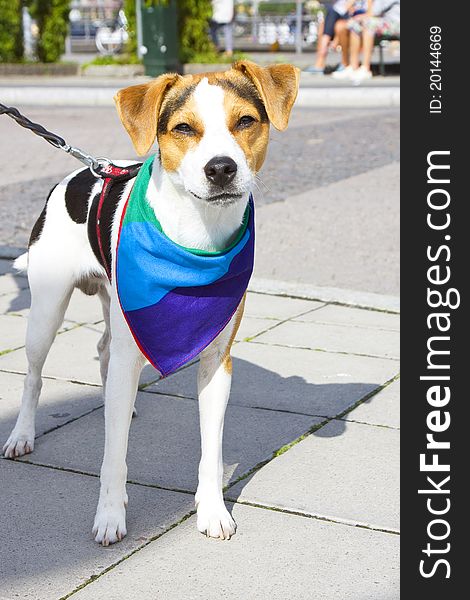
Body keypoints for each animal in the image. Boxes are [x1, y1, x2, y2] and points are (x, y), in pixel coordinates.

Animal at [2, 59, 298, 544]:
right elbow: (113, 456)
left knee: (104, 350)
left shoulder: (217, 361)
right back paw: (22, 435)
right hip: (46, 310)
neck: (196, 237)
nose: (221, 168)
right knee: (33, 376)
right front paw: (109, 516)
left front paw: (212, 510)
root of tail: (84, 171)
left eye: (245, 121)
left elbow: (210, 450)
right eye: (184, 128)